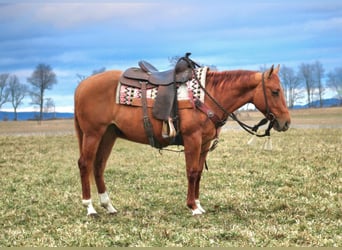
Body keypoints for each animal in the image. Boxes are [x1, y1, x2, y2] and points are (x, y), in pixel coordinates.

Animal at [73, 61, 290, 217]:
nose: (286, 122)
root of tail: (82, 85)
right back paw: (90, 207)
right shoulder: (192, 139)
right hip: (93, 133)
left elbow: (199, 173)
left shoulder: (204, 143)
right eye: (275, 91)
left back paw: (108, 206)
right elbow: (192, 172)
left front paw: (199, 204)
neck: (207, 96)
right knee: (85, 164)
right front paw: (192, 207)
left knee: (98, 166)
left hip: (108, 134)